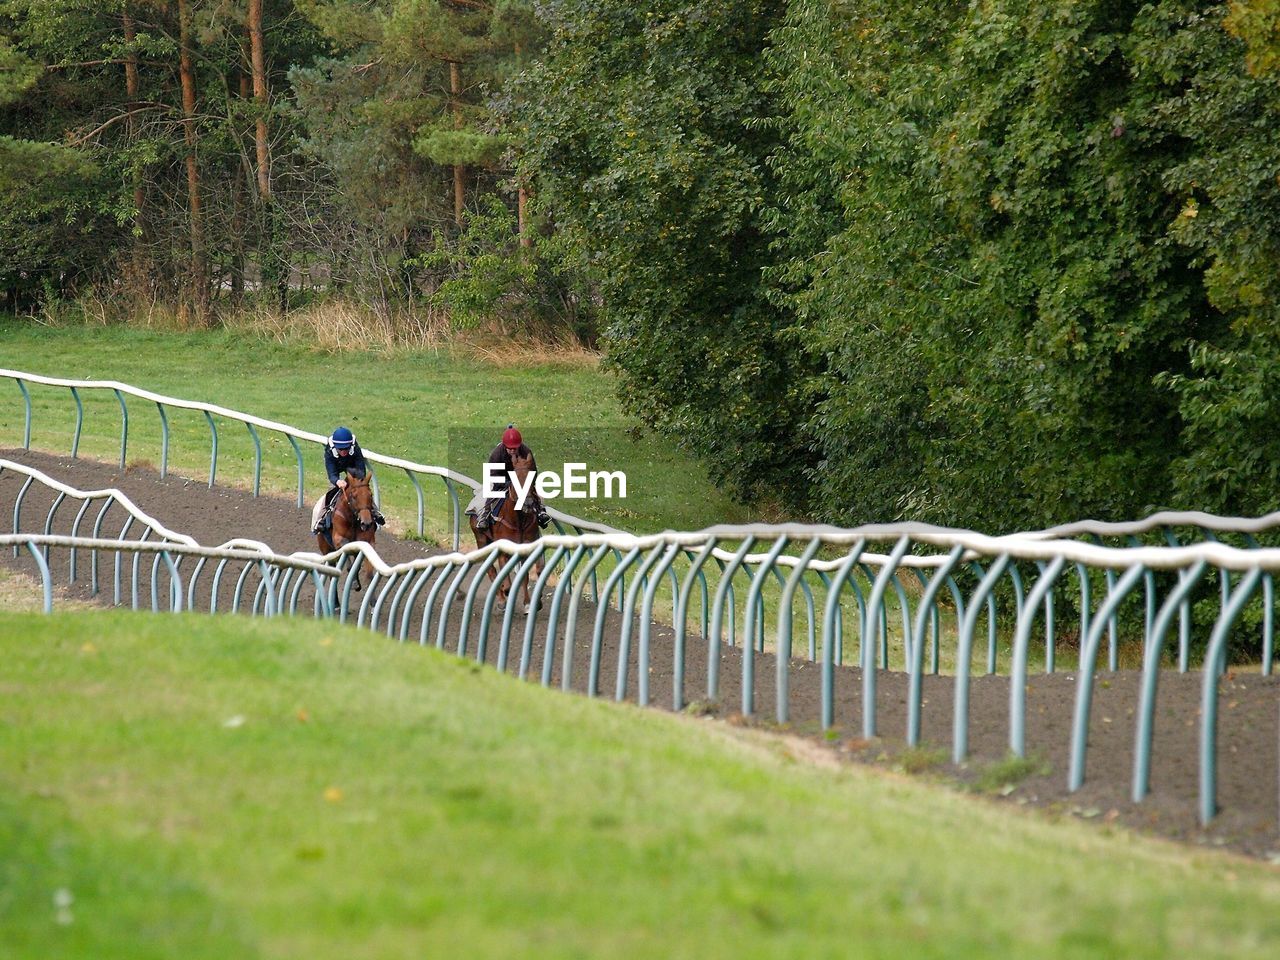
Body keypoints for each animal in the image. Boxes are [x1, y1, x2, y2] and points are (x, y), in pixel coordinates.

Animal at [476, 450, 545, 609]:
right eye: (516, 479)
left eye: (532, 478)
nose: (528, 503)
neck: (518, 520)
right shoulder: (503, 548)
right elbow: (506, 580)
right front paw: (505, 591)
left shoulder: (526, 545)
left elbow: (525, 575)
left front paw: (529, 604)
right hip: (481, 539)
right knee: (491, 570)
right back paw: (501, 599)